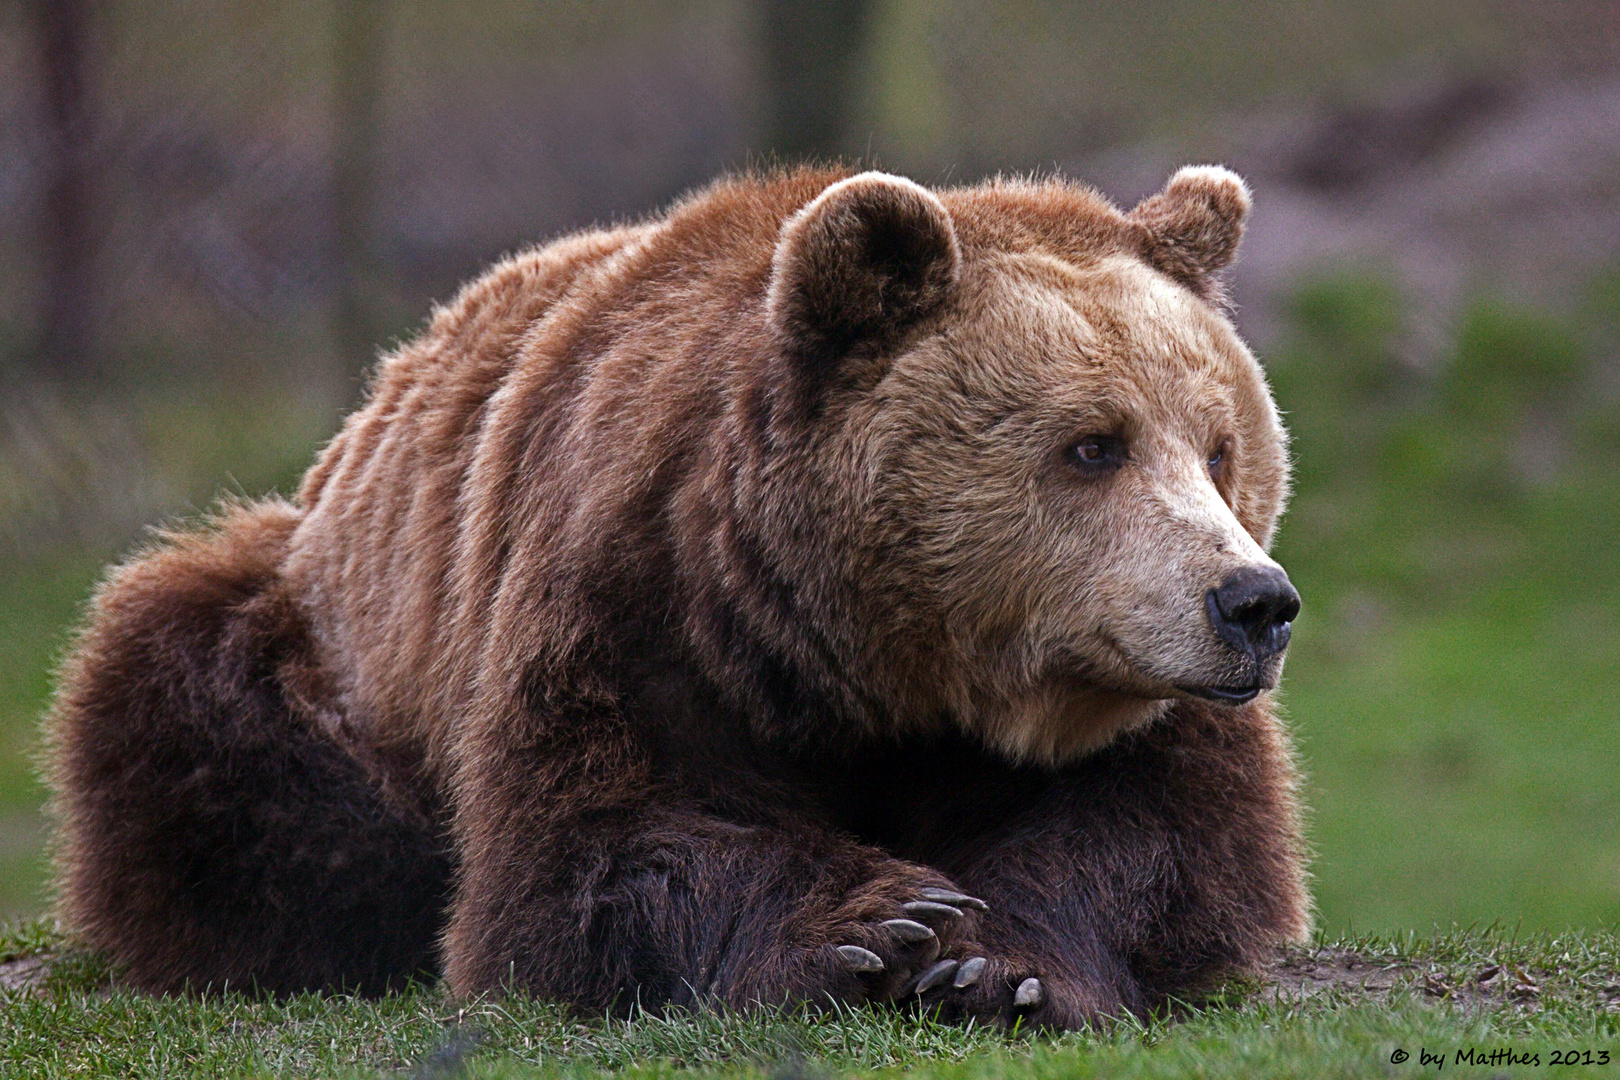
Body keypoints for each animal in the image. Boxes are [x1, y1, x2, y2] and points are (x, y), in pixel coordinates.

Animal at [47, 165, 1302, 1029]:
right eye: (1093, 445)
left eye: (1221, 447)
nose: (1253, 603)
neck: (873, 650)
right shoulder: (638, 600)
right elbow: (599, 841)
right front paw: (873, 922)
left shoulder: (1139, 696)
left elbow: (1165, 830)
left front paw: (1001, 964)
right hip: (322, 630)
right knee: (202, 731)